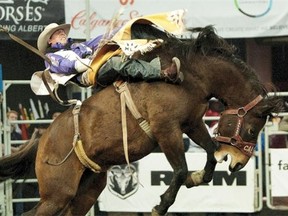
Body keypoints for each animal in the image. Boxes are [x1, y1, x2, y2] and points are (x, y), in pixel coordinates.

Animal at [0, 25, 284, 214]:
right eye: (251, 130)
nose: (237, 164)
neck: (193, 77)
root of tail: (44, 137)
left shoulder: (192, 123)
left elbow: (210, 152)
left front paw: (197, 178)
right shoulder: (165, 129)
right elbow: (179, 169)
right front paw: (161, 205)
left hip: (87, 189)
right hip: (57, 192)